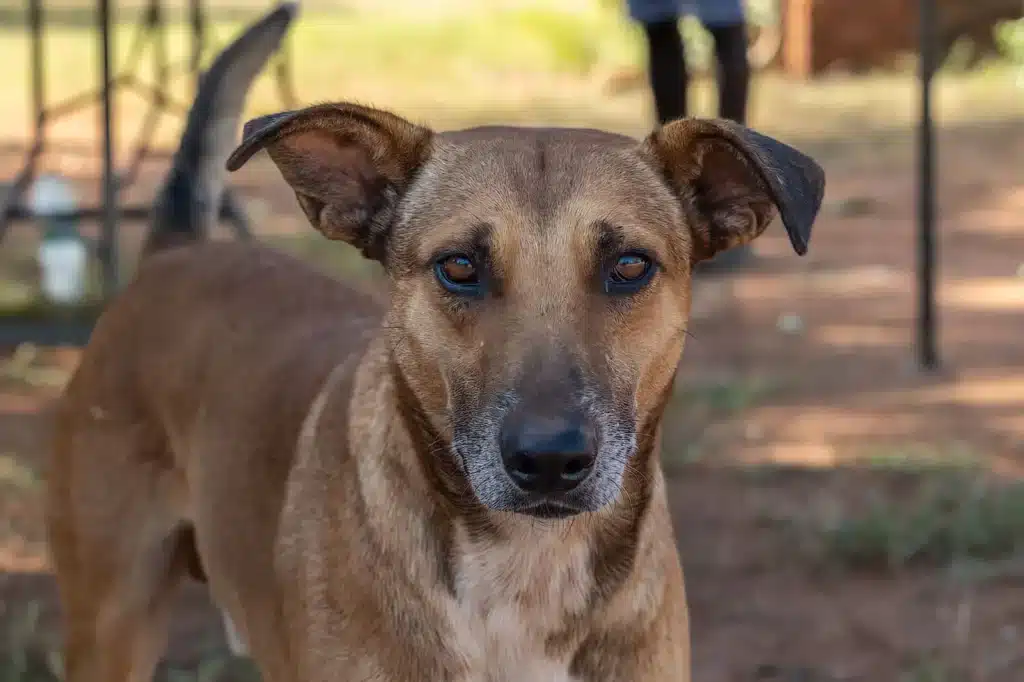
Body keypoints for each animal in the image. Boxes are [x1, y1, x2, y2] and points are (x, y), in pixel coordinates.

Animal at [48, 2, 827, 675]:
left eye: (630, 266)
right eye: (459, 267)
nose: (550, 461)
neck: (526, 569)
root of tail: (175, 256)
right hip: (111, 622)